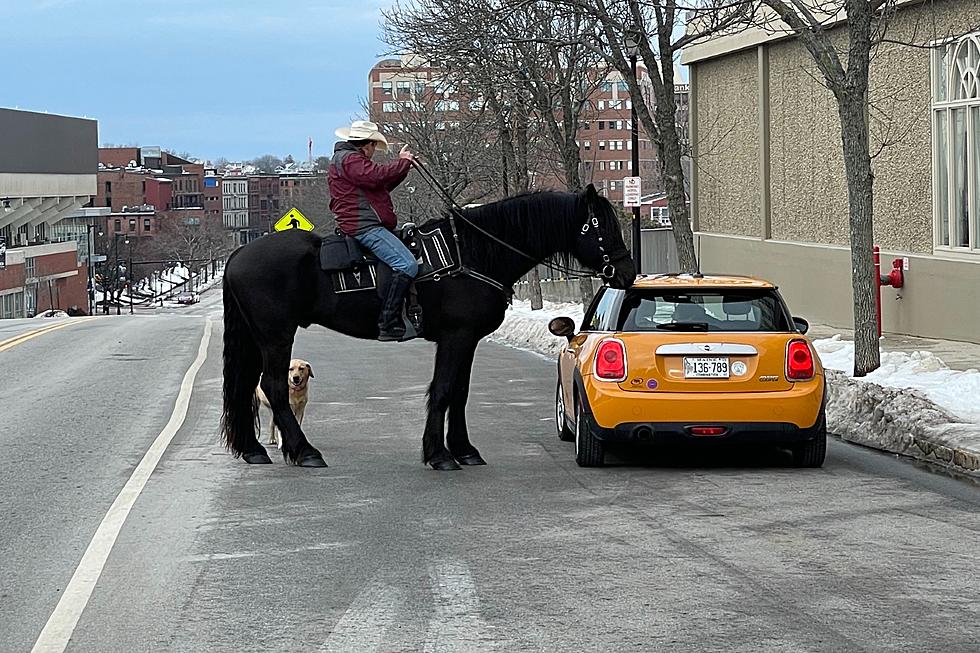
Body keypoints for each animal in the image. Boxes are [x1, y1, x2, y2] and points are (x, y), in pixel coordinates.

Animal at [219, 183, 640, 468]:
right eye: (598, 225)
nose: (627, 272)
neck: (472, 253)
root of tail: (239, 252)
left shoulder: (467, 340)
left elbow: (459, 392)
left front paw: (464, 450)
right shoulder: (456, 337)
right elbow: (442, 391)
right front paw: (439, 454)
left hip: (258, 338)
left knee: (246, 386)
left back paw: (254, 450)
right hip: (276, 336)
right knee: (274, 387)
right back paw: (304, 451)